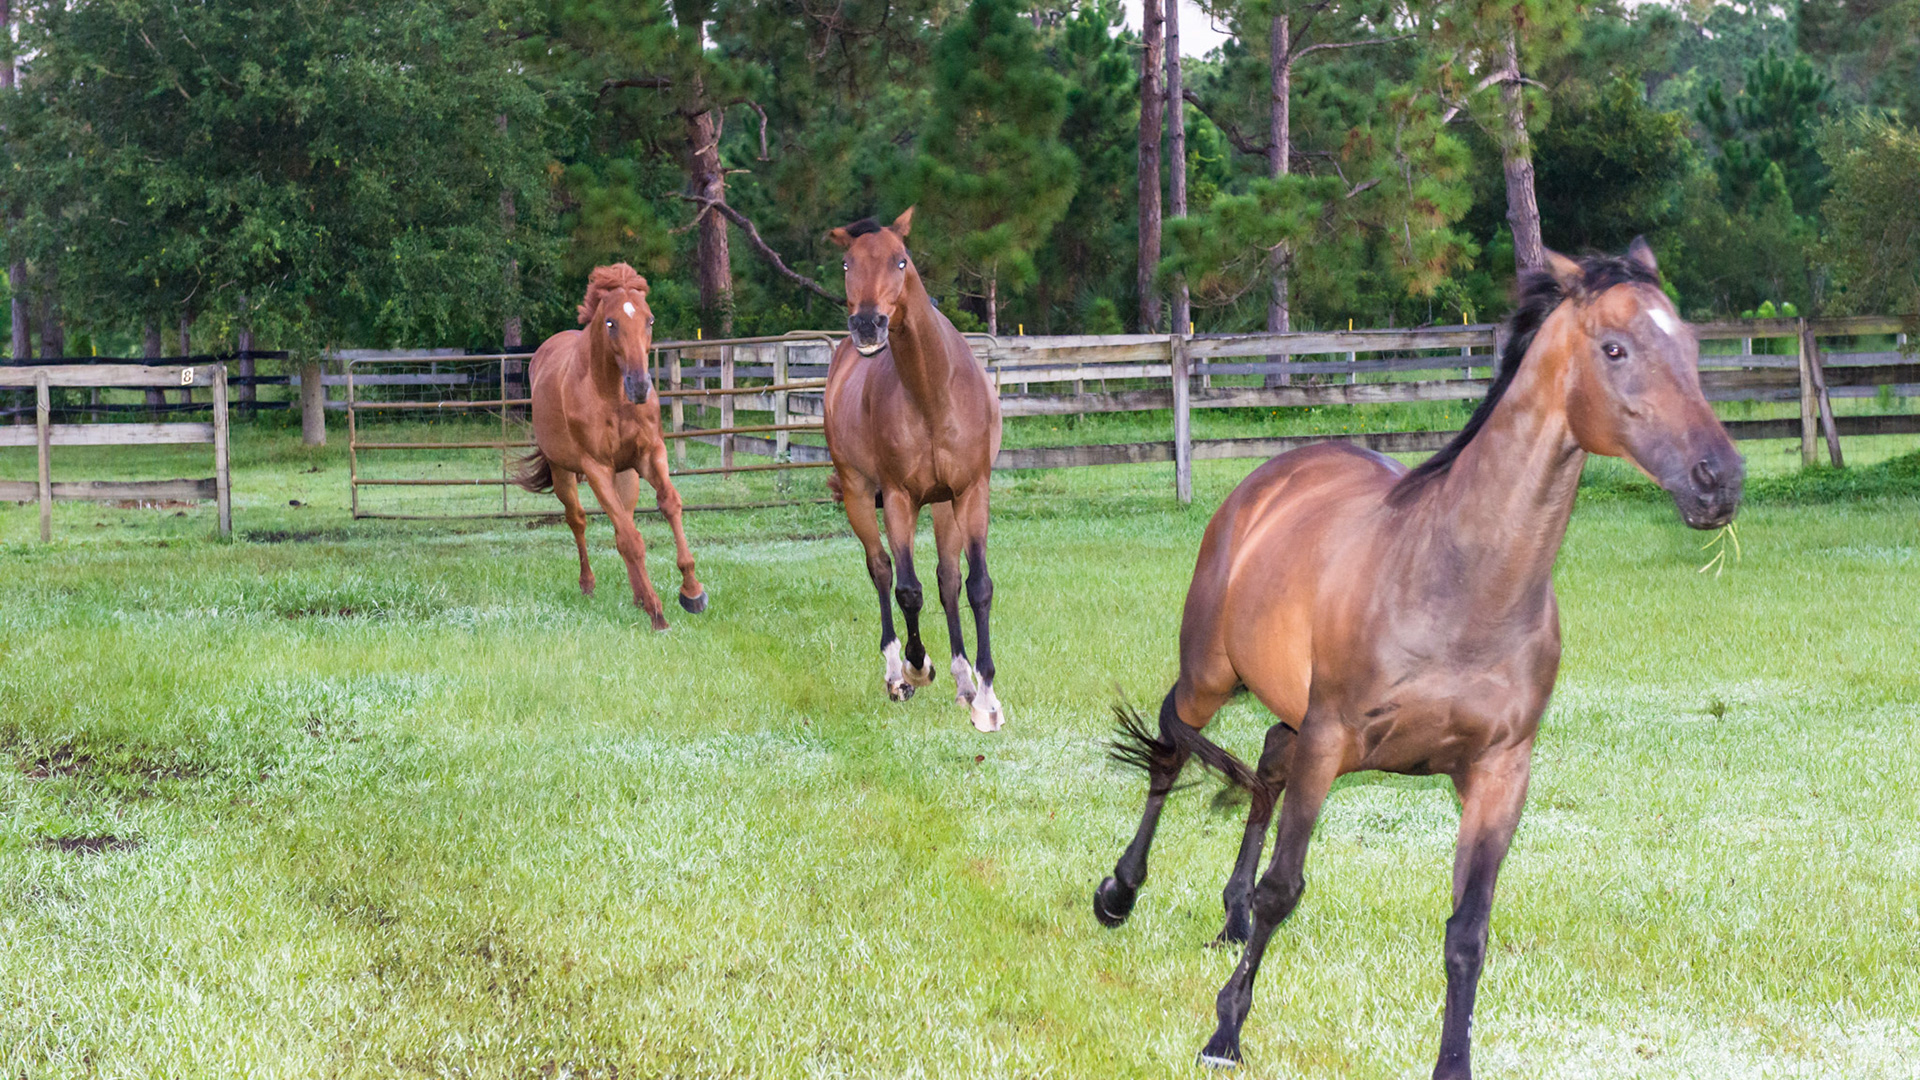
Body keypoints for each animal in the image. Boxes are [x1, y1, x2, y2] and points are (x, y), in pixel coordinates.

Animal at [514, 263, 707, 631]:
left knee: (623, 523)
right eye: (610, 323)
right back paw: (590, 586)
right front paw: (658, 613)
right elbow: (630, 539)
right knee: (579, 521)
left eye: (650, 320)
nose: (640, 386)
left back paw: (638, 596)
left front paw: (692, 591)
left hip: (626, 475)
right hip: (564, 472)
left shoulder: (649, 455)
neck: (611, 396)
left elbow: (669, 505)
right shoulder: (596, 468)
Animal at [822, 208, 1006, 732]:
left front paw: (985, 697)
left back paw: (964, 682)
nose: (868, 325)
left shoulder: (971, 491)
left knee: (947, 579)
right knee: (881, 570)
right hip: (860, 496)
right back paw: (896, 674)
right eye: (846, 263)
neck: (932, 392)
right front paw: (916, 665)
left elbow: (975, 586)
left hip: (943, 506)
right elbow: (907, 589)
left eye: (900, 260)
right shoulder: (899, 498)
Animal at [1093, 240, 1742, 1075]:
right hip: (1213, 674)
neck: (1459, 584)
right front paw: (1225, 1032)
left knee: (1264, 760)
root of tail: (1265, 483)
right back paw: (1120, 892)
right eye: (1614, 348)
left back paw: (1228, 916)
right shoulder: (1330, 740)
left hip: (1286, 713)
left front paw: (1452, 1061)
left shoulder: (1498, 772)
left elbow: (1467, 931)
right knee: (1172, 743)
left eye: (1691, 346)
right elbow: (1284, 889)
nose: (1719, 480)